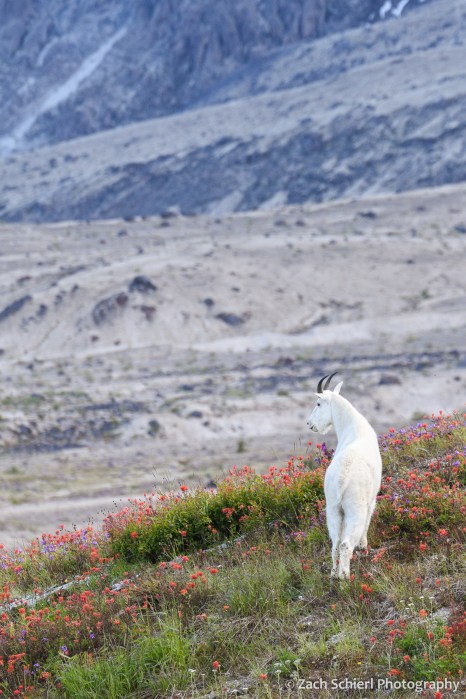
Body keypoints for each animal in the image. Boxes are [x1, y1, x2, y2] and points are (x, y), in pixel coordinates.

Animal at [307, 373, 382, 579]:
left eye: (318, 404)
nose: (310, 424)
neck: (353, 428)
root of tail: (342, 479)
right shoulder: (371, 500)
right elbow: (368, 521)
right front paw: (364, 548)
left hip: (332, 508)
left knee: (334, 544)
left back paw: (334, 573)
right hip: (354, 508)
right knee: (345, 543)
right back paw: (345, 575)